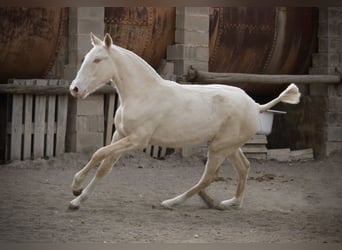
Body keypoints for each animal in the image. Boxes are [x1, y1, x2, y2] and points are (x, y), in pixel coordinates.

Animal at [68, 32, 300, 210]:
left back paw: (171, 202)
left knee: (208, 177)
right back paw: (232, 202)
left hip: (219, 148)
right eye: (86, 57)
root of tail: (256, 106)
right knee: (244, 167)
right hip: (229, 147)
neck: (143, 93)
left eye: (98, 60)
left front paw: (76, 186)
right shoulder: (120, 135)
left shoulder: (137, 140)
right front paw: (77, 199)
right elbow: (103, 166)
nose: (75, 89)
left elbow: (98, 153)